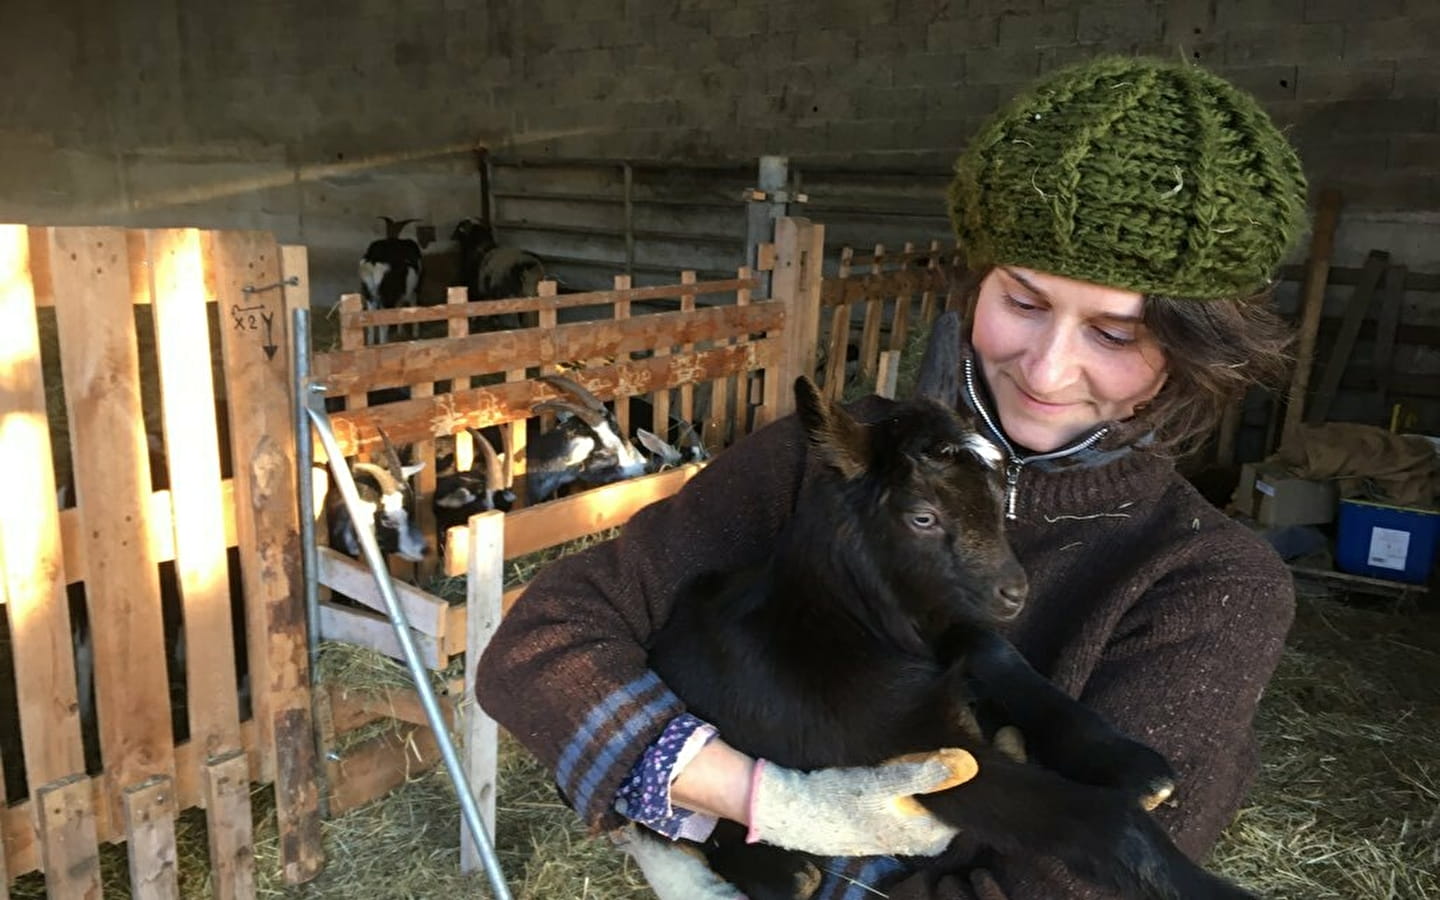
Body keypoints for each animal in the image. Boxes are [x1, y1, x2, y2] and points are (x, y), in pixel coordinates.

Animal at [362, 216, 423, 345]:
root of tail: (374, 260)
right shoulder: (413, 289)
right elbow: (413, 304)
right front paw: (415, 333)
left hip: (369, 292)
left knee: (370, 317)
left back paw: (370, 344)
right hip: (386, 294)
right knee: (383, 320)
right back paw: (383, 343)